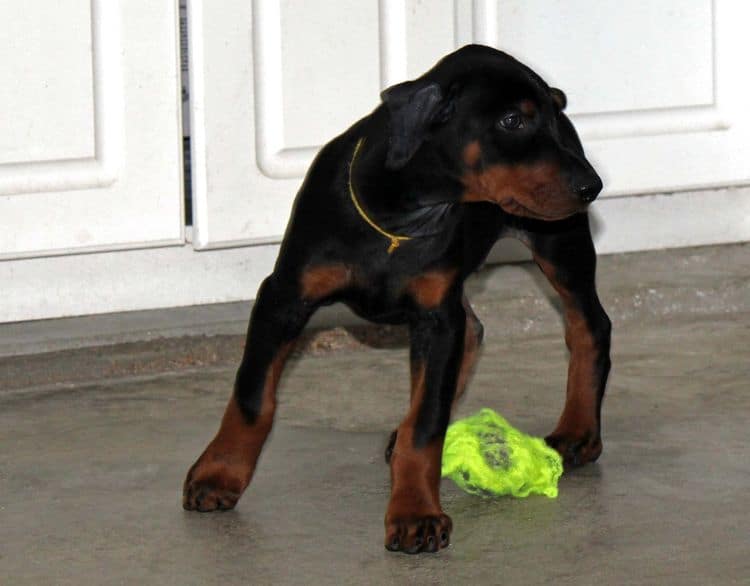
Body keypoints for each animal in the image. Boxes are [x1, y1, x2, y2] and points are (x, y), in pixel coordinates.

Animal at [182, 44, 612, 552]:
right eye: (512, 121)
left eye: (551, 115)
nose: (592, 186)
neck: (401, 219)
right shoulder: (284, 297)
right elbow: (252, 396)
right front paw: (219, 474)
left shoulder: (435, 315)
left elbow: (425, 425)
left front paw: (414, 512)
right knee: (476, 329)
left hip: (558, 242)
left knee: (589, 326)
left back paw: (579, 432)